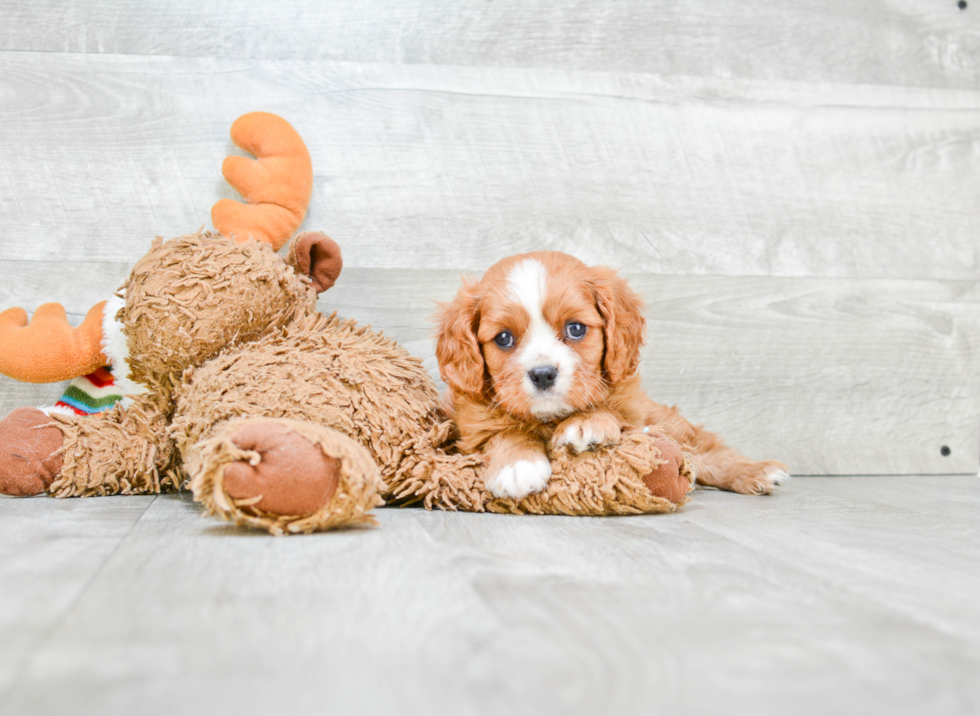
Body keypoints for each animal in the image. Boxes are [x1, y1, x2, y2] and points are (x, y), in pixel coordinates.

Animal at [436, 250, 788, 498]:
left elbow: (611, 411)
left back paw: (756, 471)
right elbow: (501, 433)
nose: (543, 374)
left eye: (576, 329)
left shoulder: (632, 406)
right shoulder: (472, 427)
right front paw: (517, 466)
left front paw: (585, 423)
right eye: (504, 338)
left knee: (702, 450)